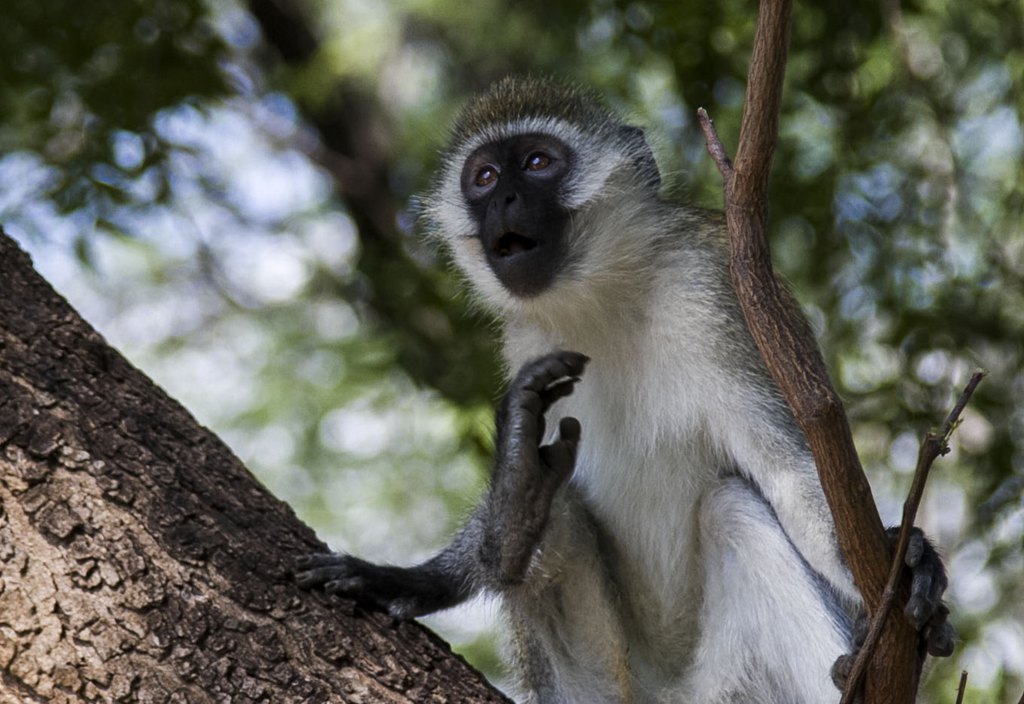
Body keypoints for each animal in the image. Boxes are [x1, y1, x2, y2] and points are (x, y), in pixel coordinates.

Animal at [296, 76, 950, 704]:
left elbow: (791, 474)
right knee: (559, 506)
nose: (504, 198)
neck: (602, 297)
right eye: (483, 177)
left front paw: (907, 561)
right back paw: (520, 508)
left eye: (537, 162)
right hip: (593, 688)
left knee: (732, 508)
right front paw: (426, 577)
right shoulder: (527, 342)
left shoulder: (722, 290)